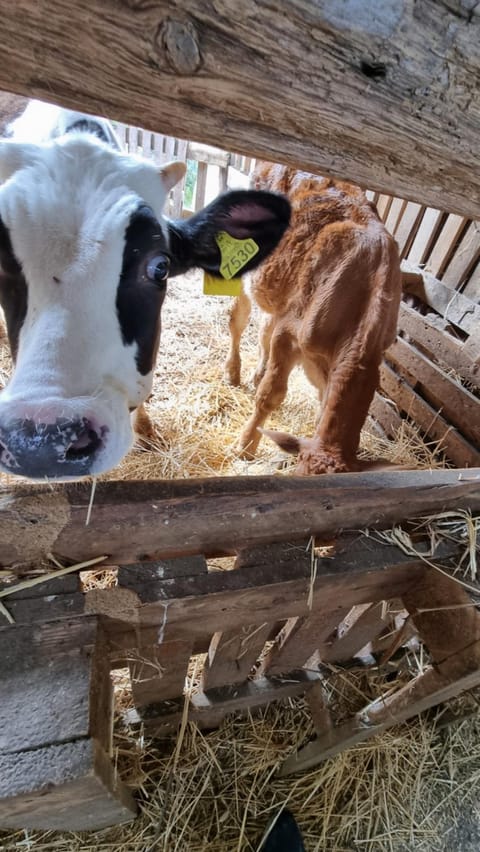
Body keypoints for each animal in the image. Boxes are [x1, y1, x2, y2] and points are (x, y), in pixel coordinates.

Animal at [225, 163, 402, 476]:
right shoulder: (289, 333)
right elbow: (270, 395)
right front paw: (245, 445)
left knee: (263, 329)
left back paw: (256, 372)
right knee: (238, 320)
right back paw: (234, 372)